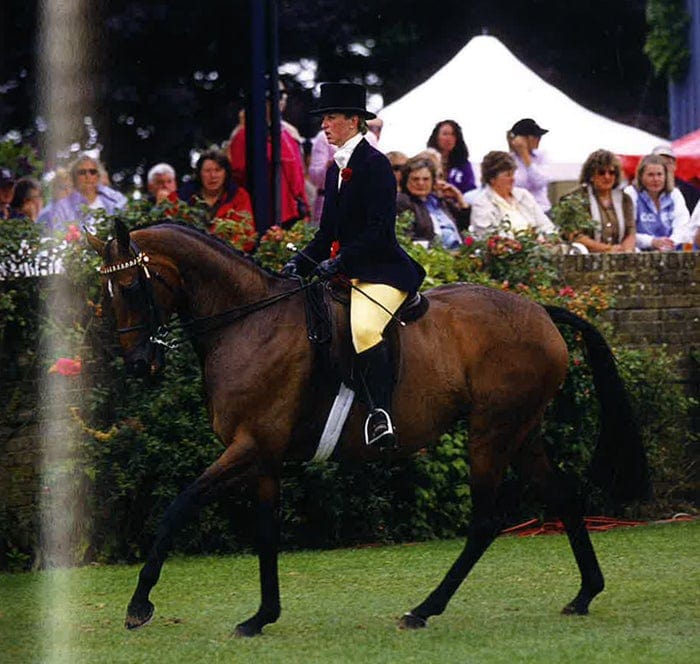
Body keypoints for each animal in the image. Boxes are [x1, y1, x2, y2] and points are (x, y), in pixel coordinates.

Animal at [87, 220, 649, 636]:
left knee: (486, 523)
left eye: (132, 285)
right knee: (564, 497)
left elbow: (177, 507)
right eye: (106, 291)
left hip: (491, 433)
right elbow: (267, 533)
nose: (138, 364)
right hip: (521, 433)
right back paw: (584, 594)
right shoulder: (263, 456)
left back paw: (423, 610)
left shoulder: (248, 446)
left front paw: (139, 605)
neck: (247, 322)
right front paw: (261, 616)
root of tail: (541, 311)